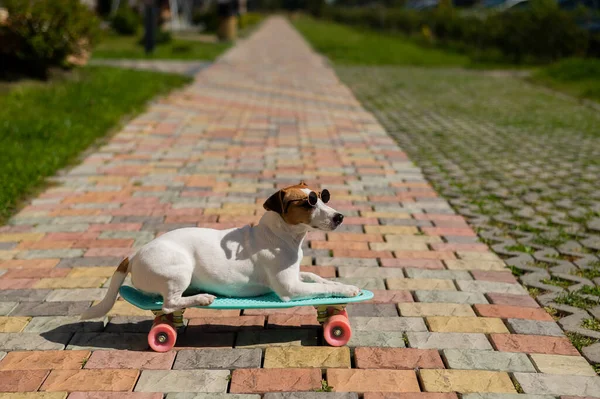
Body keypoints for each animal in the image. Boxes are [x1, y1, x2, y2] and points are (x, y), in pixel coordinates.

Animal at [79, 182, 360, 322]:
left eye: (322, 196)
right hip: (180, 269)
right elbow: (319, 288)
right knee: (169, 304)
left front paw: (339, 282)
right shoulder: (289, 289)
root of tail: (134, 255)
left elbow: (317, 277)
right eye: (309, 202)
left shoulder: (295, 274)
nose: (340, 217)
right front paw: (347, 290)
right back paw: (202, 298)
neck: (280, 234)